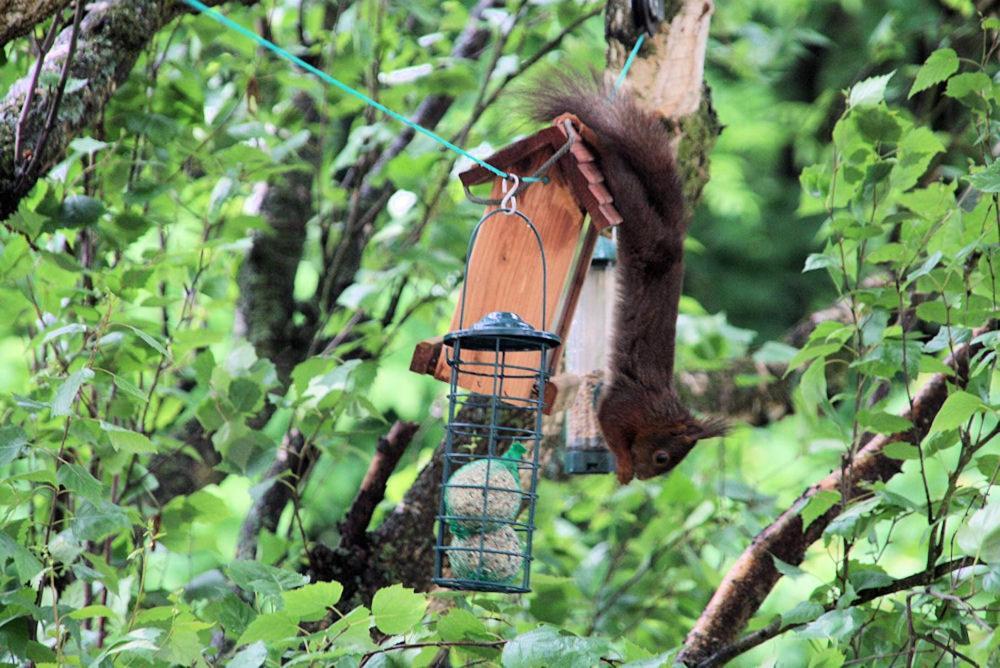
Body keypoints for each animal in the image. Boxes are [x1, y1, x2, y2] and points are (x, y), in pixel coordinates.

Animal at [532, 72, 728, 480]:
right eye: (663, 457)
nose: (643, 476)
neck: (658, 414)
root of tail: (674, 237)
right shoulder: (623, 406)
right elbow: (609, 424)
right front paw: (622, 466)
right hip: (638, 219)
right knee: (618, 172)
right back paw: (587, 132)